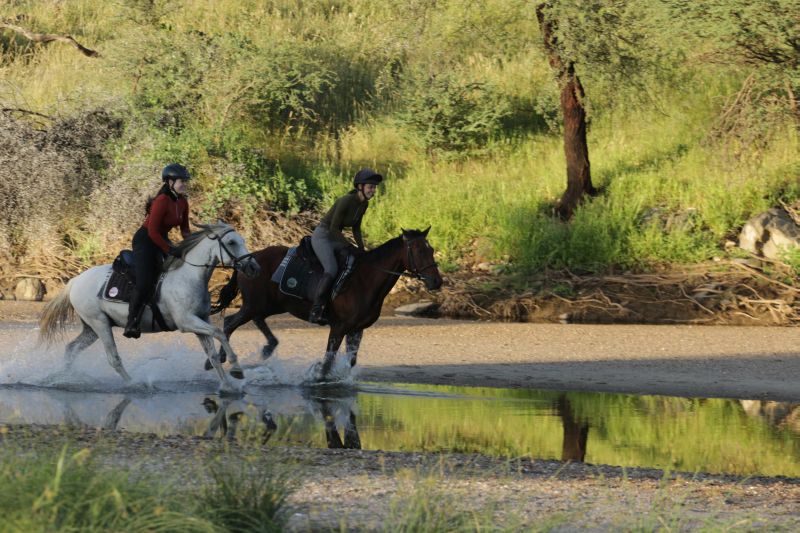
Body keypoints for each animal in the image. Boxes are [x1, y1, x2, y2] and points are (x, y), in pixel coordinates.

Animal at [39, 220, 260, 390]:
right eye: (231, 242)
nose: (254, 267)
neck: (189, 276)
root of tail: (76, 280)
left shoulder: (200, 321)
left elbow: (213, 354)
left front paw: (227, 386)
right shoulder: (187, 322)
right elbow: (220, 333)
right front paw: (236, 369)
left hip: (92, 328)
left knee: (71, 349)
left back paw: (65, 378)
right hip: (99, 324)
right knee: (113, 358)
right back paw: (134, 384)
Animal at [209, 227, 444, 380]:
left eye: (431, 250)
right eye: (419, 251)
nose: (436, 282)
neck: (366, 280)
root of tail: (247, 259)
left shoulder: (357, 330)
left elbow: (350, 361)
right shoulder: (339, 327)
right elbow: (328, 362)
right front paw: (319, 378)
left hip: (271, 305)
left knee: (255, 320)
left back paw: (268, 347)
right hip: (254, 304)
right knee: (230, 322)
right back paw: (220, 359)